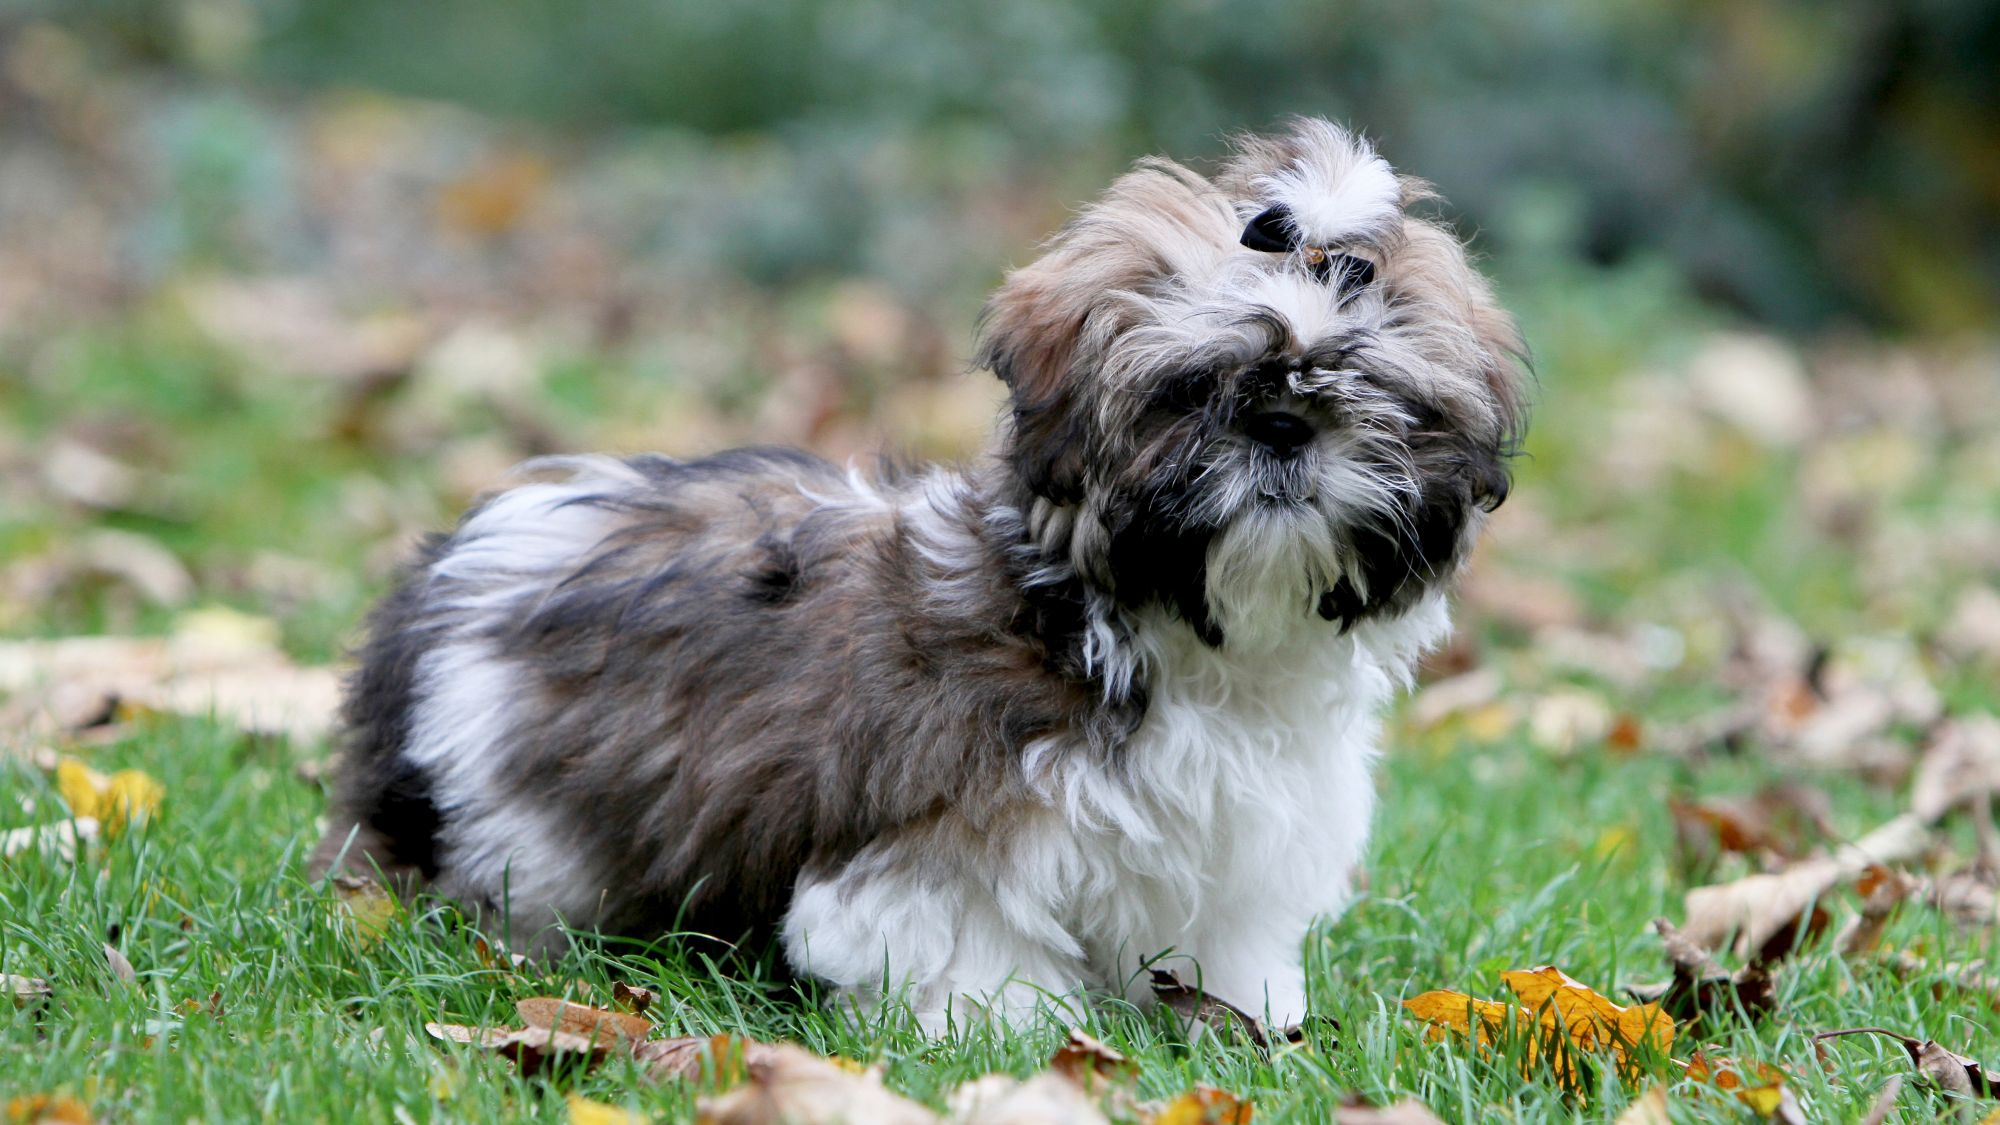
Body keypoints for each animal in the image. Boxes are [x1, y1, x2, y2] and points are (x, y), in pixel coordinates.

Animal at [320, 118, 1520, 1032]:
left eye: (1378, 395)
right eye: (1191, 390)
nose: (1282, 425)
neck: (1165, 632)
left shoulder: (1237, 839)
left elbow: (1218, 936)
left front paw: (1246, 1017)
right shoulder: (942, 832)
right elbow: (962, 939)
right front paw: (1008, 1034)